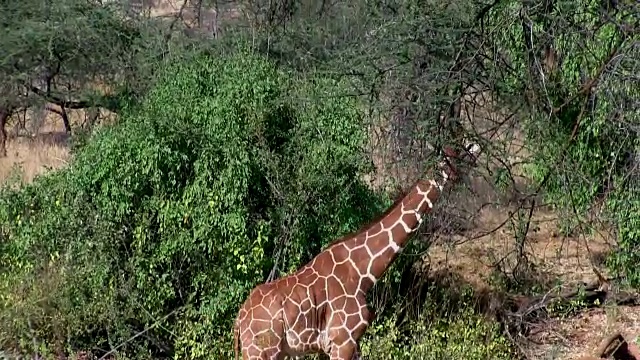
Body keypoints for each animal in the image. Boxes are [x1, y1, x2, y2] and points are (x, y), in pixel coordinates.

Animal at [234, 142, 480, 358]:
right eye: (454, 155)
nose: (476, 149)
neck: (363, 272)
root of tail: (239, 322)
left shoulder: (350, 343)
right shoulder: (342, 341)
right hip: (263, 351)